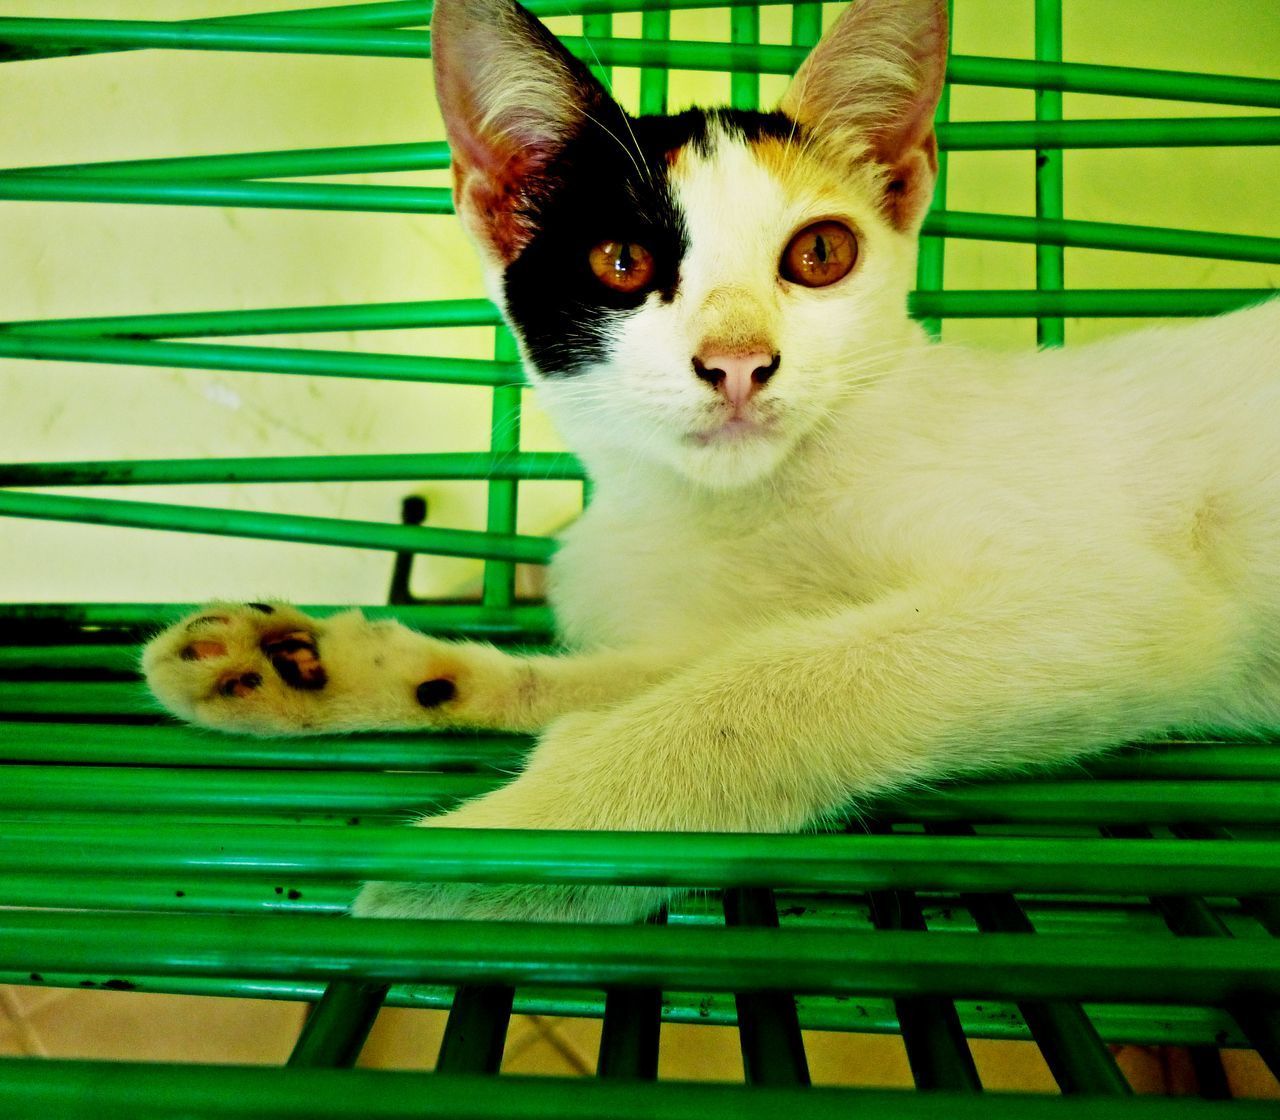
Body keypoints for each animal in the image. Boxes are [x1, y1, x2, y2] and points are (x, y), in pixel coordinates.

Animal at [142, 0, 1280, 926]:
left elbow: (761, 686)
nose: (738, 360)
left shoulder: (1107, 600)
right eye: (621, 262)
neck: (731, 510)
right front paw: (319, 665)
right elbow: (642, 672)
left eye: (819, 254)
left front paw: (519, 844)